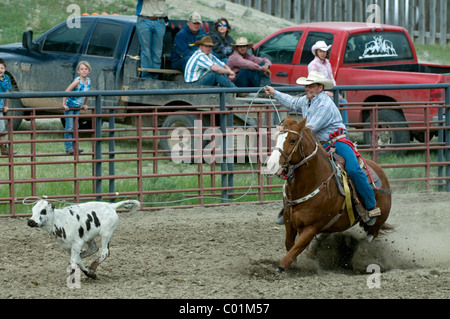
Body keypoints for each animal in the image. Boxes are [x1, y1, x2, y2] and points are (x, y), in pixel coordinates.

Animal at [264, 116, 390, 274]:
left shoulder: (311, 228)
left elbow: (294, 250)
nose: (271, 165)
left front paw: (281, 268)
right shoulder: (289, 219)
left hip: (377, 223)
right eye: (277, 138)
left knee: (369, 238)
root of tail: (381, 171)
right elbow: (289, 244)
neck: (313, 182)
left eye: (292, 140)